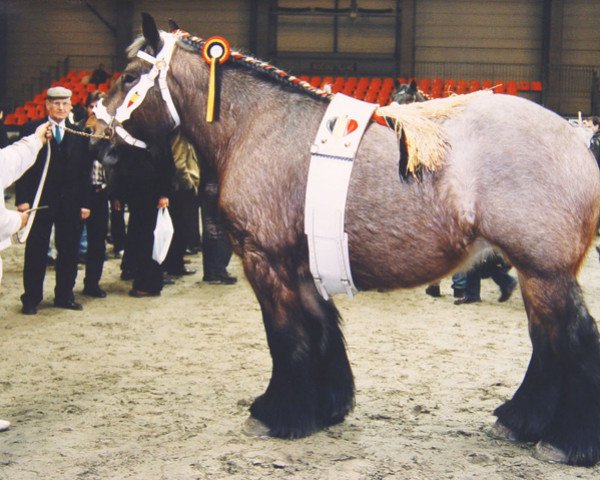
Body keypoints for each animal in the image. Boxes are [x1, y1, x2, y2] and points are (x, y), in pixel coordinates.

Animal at [91, 14, 600, 464]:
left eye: (130, 76)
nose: (98, 147)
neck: (256, 124)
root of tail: (576, 138)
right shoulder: (301, 266)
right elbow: (320, 331)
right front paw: (327, 407)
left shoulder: (264, 259)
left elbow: (285, 337)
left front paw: (277, 413)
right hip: (536, 273)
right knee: (546, 342)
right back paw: (520, 420)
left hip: (544, 271)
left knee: (574, 343)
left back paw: (567, 442)